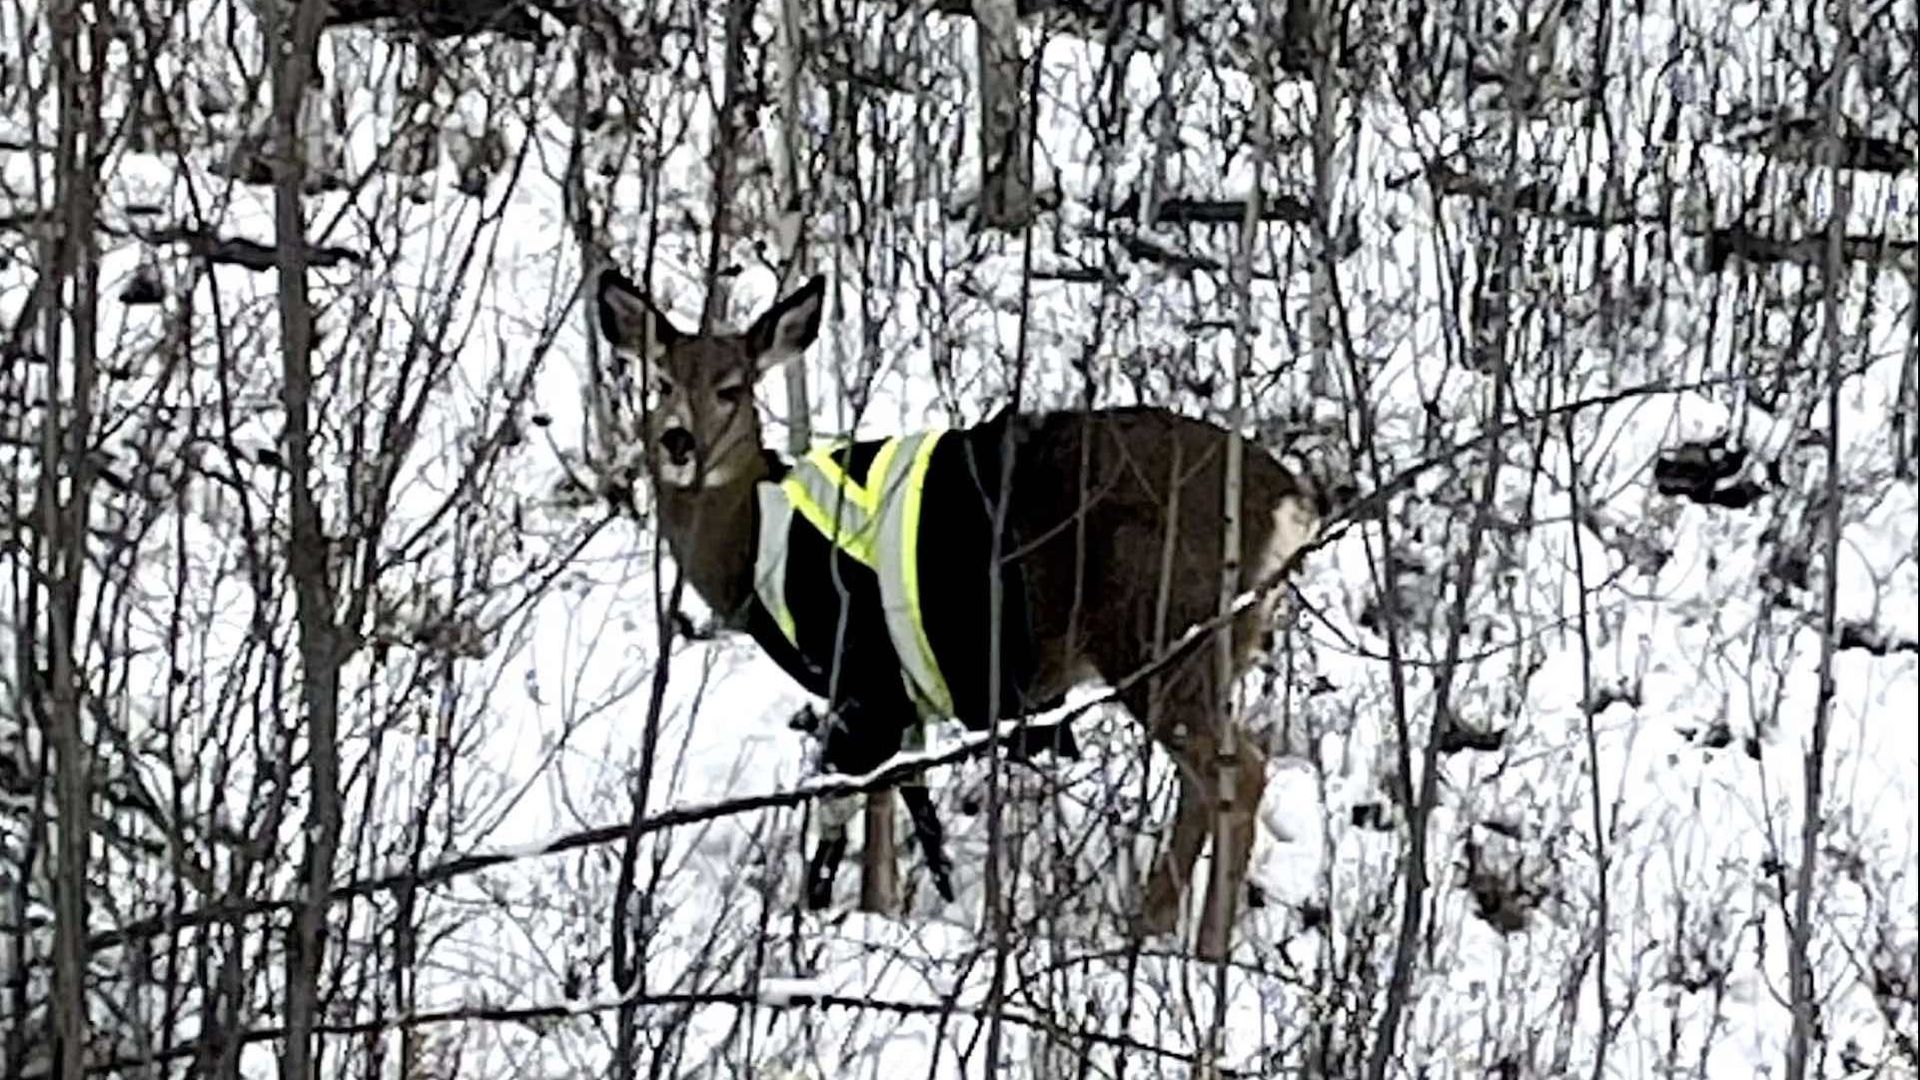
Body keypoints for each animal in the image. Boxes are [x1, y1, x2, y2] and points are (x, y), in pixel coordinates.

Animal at [594, 266, 1326, 959]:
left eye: (732, 389)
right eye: (661, 380)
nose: (679, 441)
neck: (753, 544)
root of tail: (1288, 504)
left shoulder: (861, 668)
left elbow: (870, 800)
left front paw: (866, 913)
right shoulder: (894, 689)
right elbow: (896, 793)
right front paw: (887, 910)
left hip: (1160, 631)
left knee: (1237, 771)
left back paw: (1197, 951)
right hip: (1210, 646)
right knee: (1209, 780)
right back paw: (1153, 929)